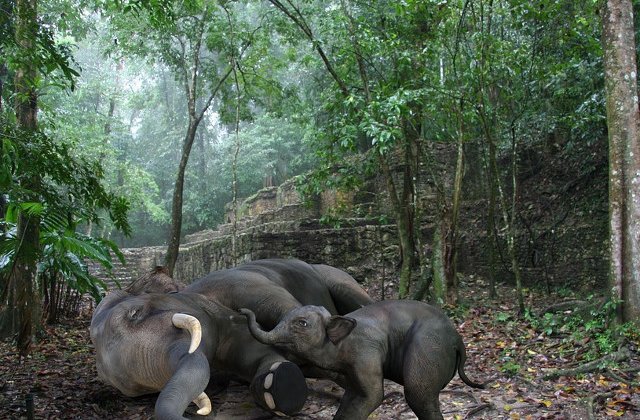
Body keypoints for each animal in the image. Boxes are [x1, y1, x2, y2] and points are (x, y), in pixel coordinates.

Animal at [240, 299, 486, 420]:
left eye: (302, 324)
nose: (242, 311)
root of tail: (458, 341)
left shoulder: (365, 354)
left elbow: (373, 396)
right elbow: (352, 395)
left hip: (427, 351)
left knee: (418, 395)